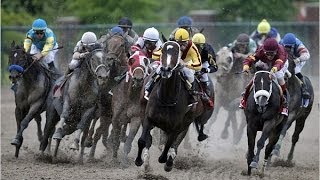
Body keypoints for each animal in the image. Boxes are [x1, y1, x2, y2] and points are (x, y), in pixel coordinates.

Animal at [135, 40, 195, 172]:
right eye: (163, 50)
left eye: (177, 52)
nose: (165, 70)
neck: (166, 98)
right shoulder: (148, 118)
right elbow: (142, 140)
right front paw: (139, 161)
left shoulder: (175, 126)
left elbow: (168, 144)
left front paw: (165, 160)